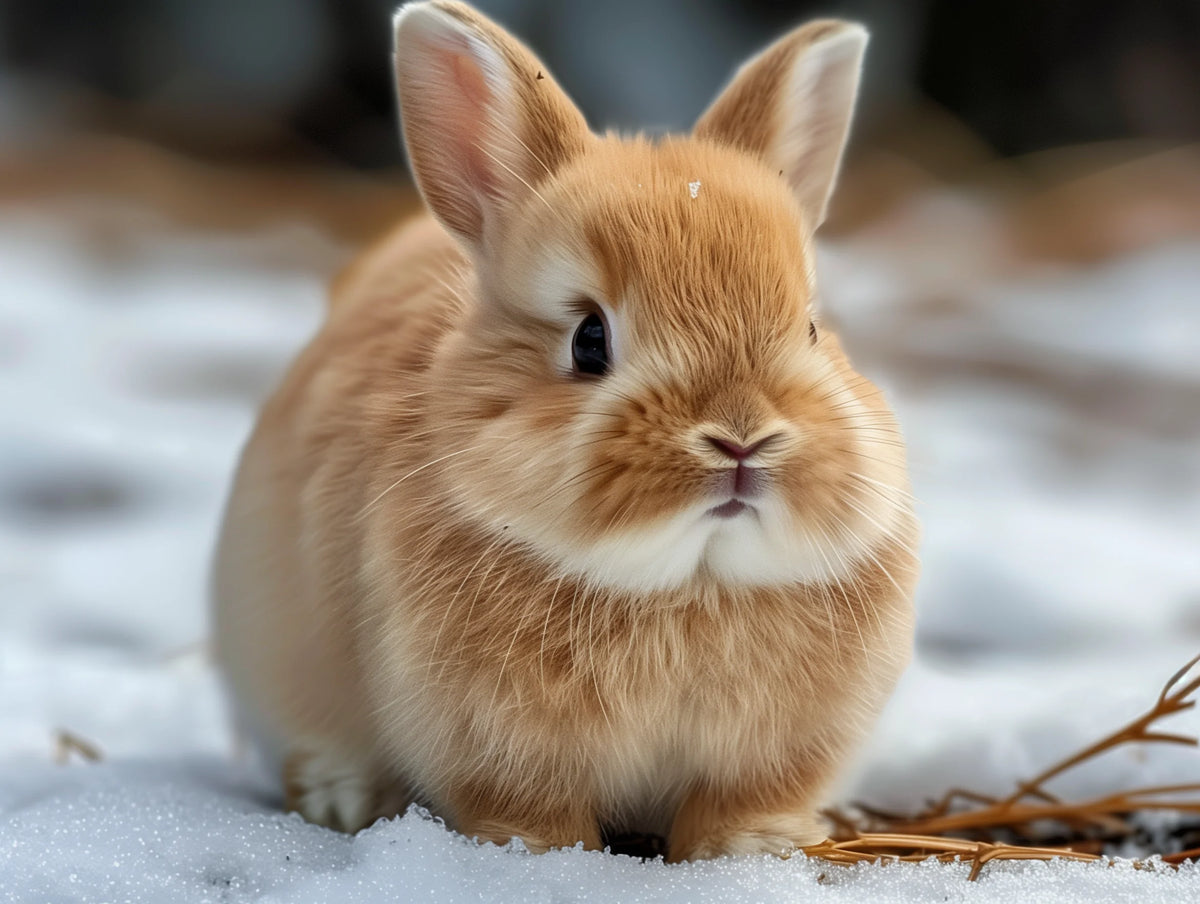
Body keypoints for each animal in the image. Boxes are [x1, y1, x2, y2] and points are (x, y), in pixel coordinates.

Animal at [212, 0, 918, 862]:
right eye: (589, 341)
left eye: (813, 330)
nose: (741, 439)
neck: (687, 586)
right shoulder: (501, 753)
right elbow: (532, 814)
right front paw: (547, 861)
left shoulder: (767, 760)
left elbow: (739, 806)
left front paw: (753, 851)